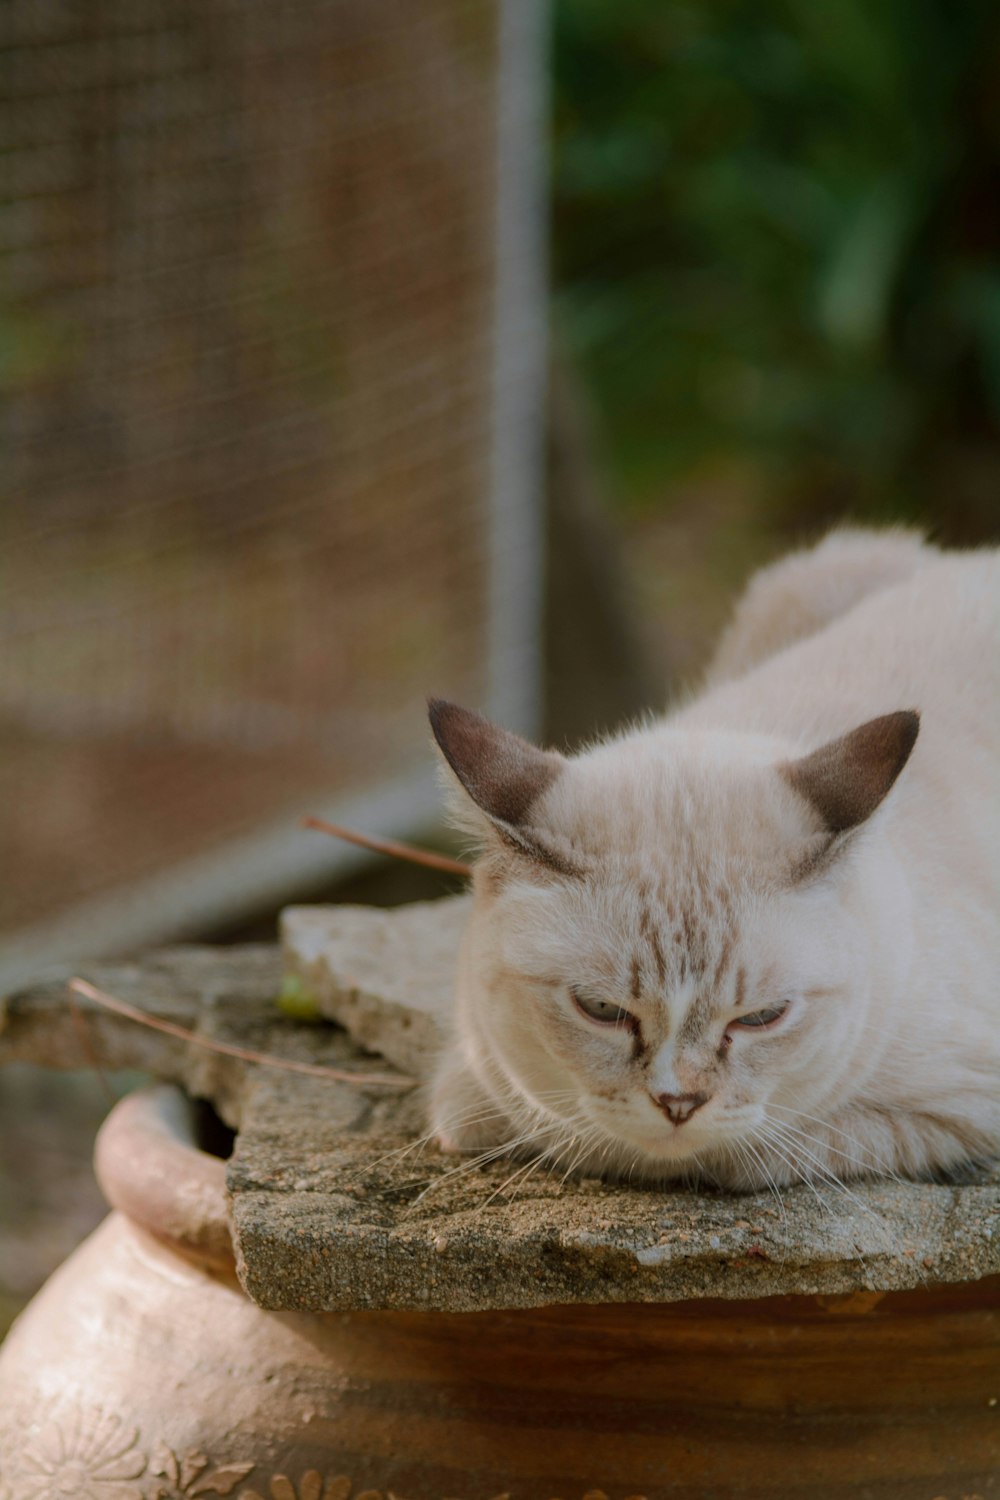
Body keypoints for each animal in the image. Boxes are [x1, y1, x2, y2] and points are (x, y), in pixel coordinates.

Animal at [428, 534, 1000, 1188]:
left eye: (762, 1018)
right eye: (601, 1010)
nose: (678, 1102)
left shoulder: (960, 1105)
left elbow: (754, 1152)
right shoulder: (468, 1089)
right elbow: (495, 1115)